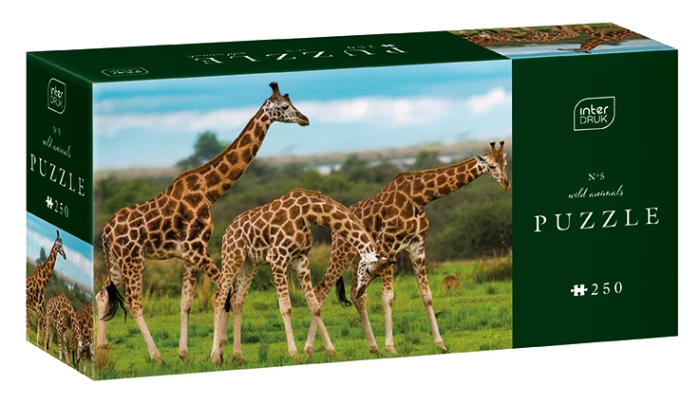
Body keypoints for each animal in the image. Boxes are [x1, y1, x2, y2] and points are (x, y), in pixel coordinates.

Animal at [96, 82, 309, 363]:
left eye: (292, 103)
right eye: (284, 107)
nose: (305, 119)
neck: (209, 191)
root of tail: (106, 232)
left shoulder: (189, 254)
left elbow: (187, 302)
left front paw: (186, 353)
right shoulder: (197, 248)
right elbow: (224, 293)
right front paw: (218, 352)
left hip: (117, 261)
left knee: (103, 294)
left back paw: (99, 352)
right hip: (133, 259)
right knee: (133, 301)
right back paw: (156, 357)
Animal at [211, 188, 394, 364]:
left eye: (376, 275)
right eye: (369, 271)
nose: (359, 291)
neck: (308, 214)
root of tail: (227, 231)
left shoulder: (301, 260)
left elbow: (315, 305)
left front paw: (331, 351)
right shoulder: (277, 258)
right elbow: (286, 307)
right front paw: (294, 355)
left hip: (249, 264)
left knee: (236, 300)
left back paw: (237, 356)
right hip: (233, 256)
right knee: (219, 297)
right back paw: (215, 357)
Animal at [307, 142, 510, 354]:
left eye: (505, 163)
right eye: (492, 166)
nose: (506, 183)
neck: (418, 197)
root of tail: (333, 230)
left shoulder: (417, 246)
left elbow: (427, 295)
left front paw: (440, 344)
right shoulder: (389, 244)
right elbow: (388, 297)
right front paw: (391, 347)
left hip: (358, 259)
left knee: (357, 295)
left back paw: (373, 348)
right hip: (342, 252)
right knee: (321, 290)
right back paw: (316, 350)